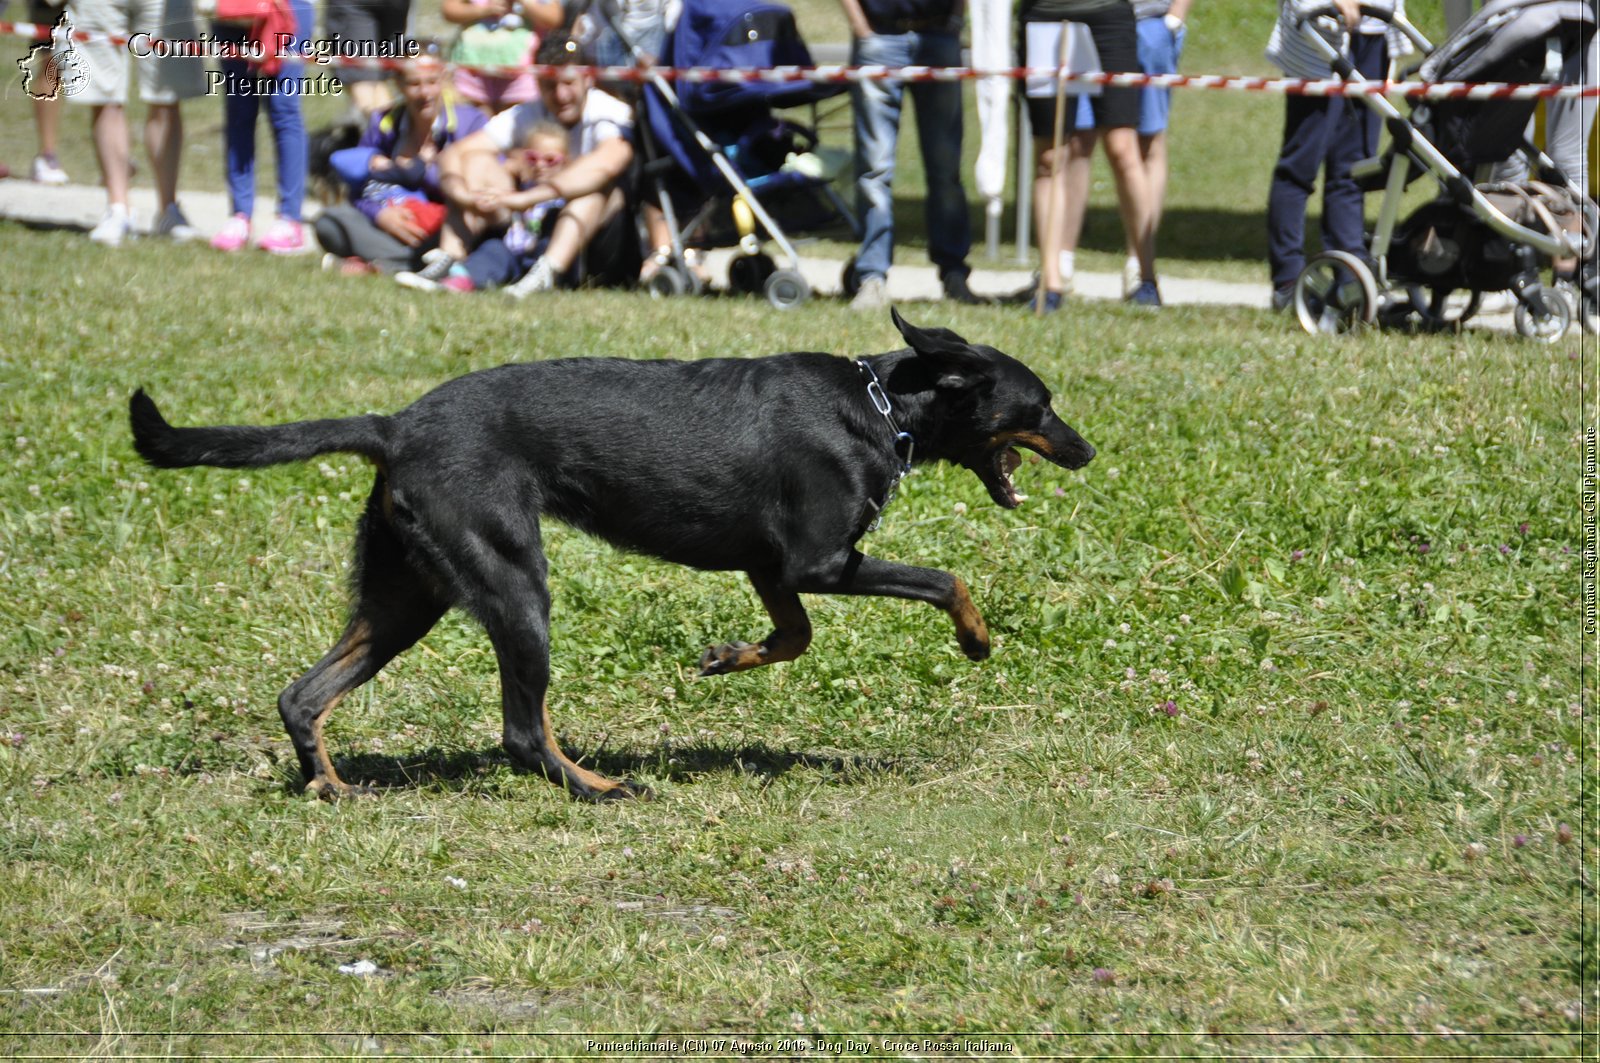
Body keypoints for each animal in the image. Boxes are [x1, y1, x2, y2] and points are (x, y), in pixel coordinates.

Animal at [131, 312, 1094, 800]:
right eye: (1041, 404)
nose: (1088, 450)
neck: (883, 405)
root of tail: (394, 424)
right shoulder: (818, 561)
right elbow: (941, 577)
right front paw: (976, 637)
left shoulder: (772, 569)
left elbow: (793, 637)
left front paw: (725, 656)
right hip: (515, 587)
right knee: (522, 731)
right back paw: (597, 787)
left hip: (407, 596)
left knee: (303, 695)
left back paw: (329, 786)